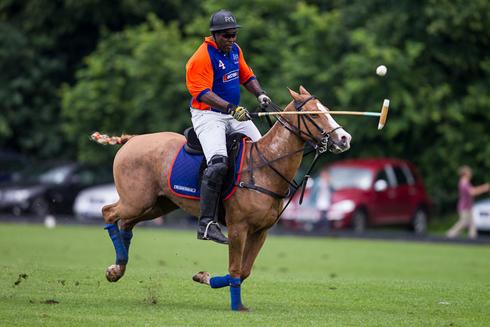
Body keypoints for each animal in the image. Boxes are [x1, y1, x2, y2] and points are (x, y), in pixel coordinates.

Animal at [93, 86, 352, 312]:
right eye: (313, 114)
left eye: (327, 109)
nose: (344, 138)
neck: (266, 167)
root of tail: (132, 139)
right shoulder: (238, 228)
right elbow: (236, 268)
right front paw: (237, 306)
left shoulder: (261, 231)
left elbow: (244, 271)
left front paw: (203, 276)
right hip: (136, 201)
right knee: (108, 212)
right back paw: (118, 264)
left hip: (158, 205)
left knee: (127, 224)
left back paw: (116, 269)